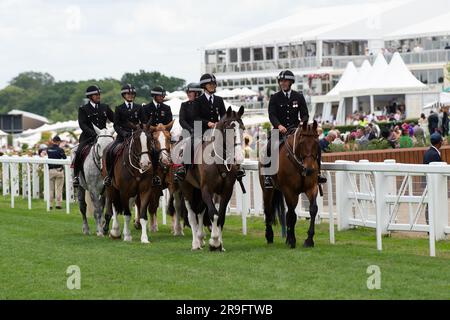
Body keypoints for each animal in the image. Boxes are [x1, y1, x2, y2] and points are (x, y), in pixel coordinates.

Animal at [179, 106, 244, 251]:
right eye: (229, 129)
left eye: (243, 128)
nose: (239, 157)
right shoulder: (207, 190)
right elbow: (214, 214)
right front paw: (214, 242)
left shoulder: (226, 191)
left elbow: (221, 215)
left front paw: (220, 244)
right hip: (187, 189)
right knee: (192, 215)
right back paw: (195, 243)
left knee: (200, 212)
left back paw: (200, 238)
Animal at [258, 121, 322, 249]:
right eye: (302, 142)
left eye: (316, 142)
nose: (309, 170)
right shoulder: (290, 191)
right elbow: (292, 214)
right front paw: (292, 240)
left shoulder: (312, 188)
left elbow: (312, 209)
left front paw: (309, 239)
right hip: (268, 190)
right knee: (268, 210)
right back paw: (269, 236)